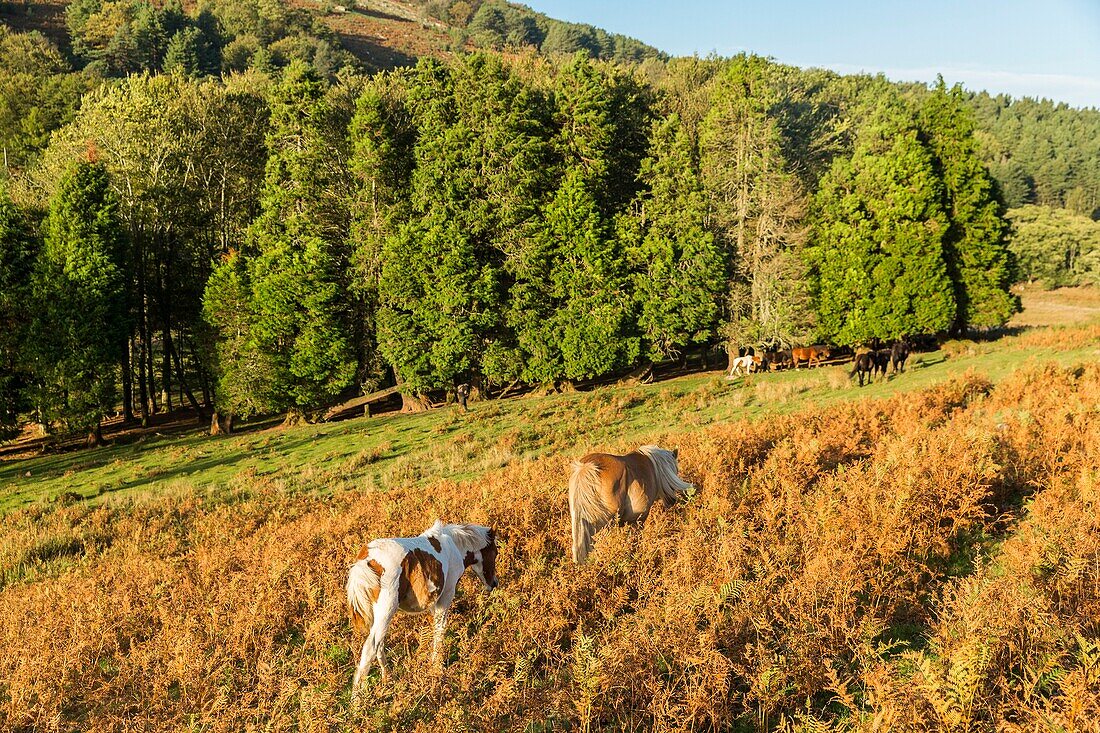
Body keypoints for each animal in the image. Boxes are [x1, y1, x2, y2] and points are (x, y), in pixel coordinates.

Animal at [347, 517, 499, 695]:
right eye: (495, 552)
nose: (494, 583)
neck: (455, 545)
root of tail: (367, 559)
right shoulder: (445, 597)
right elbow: (440, 630)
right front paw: (437, 669)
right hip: (386, 611)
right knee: (370, 647)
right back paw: (358, 699)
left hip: (377, 615)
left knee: (379, 644)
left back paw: (387, 680)